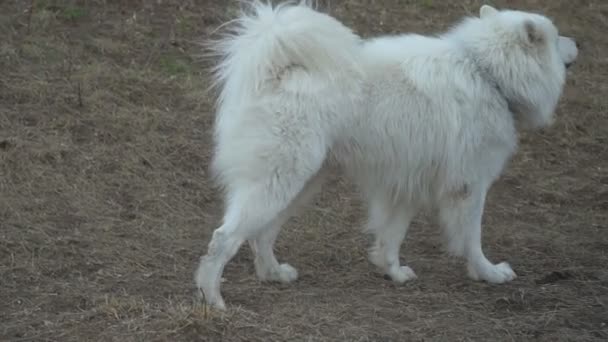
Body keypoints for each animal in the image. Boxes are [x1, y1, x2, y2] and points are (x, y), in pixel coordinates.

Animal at [196, 0, 580, 310]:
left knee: (262, 234)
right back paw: (213, 298)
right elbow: (472, 238)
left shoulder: (405, 185)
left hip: (301, 183)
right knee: (224, 238)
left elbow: (392, 235)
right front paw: (489, 272)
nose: (579, 44)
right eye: (556, 36)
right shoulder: (469, 187)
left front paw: (392, 271)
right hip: (279, 180)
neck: (488, 74)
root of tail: (278, 67)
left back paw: (273, 273)